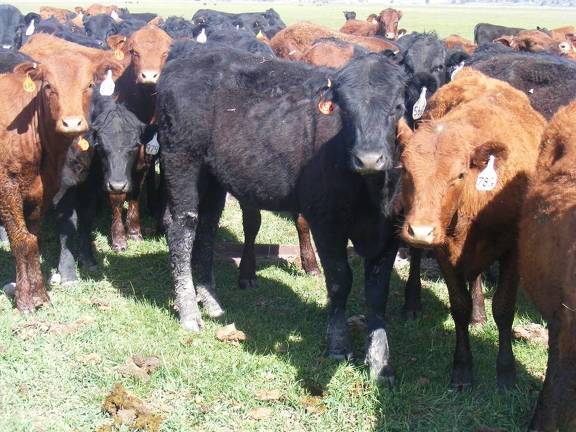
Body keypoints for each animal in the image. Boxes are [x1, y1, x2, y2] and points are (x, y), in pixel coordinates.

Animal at [0, 42, 121, 312]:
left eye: (89, 84)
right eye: (48, 86)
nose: (72, 123)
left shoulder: (42, 190)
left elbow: (33, 239)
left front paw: (39, 295)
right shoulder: (7, 189)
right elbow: (22, 241)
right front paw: (25, 300)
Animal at [106, 25, 172, 251]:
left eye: (166, 52)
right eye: (134, 51)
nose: (150, 76)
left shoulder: (143, 157)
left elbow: (134, 190)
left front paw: (134, 231)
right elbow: (117, 195)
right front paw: (119, 238)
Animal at [158, 44, 408, 382]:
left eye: (398, 106)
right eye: (344, 109)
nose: (368, 158)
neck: (370, 194)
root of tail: (182, 61)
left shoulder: (390, 230)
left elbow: (378, 294)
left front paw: (381, 362)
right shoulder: (325, 223)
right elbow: (340, 281)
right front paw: (338, 345)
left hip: (212, 176)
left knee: (207, 228)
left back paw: (211, 301)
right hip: (181, 158)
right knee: (181, 226)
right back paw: (188, 311)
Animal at [396, 68, 544, 388]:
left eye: (459, 175)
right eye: (406, 170)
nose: (421, 231)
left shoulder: (513, 250)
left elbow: (504, 307)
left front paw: (506, 372)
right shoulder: (443, 250)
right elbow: (458, 306)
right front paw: (462, 368)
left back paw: (480, 313)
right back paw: (413, 303)